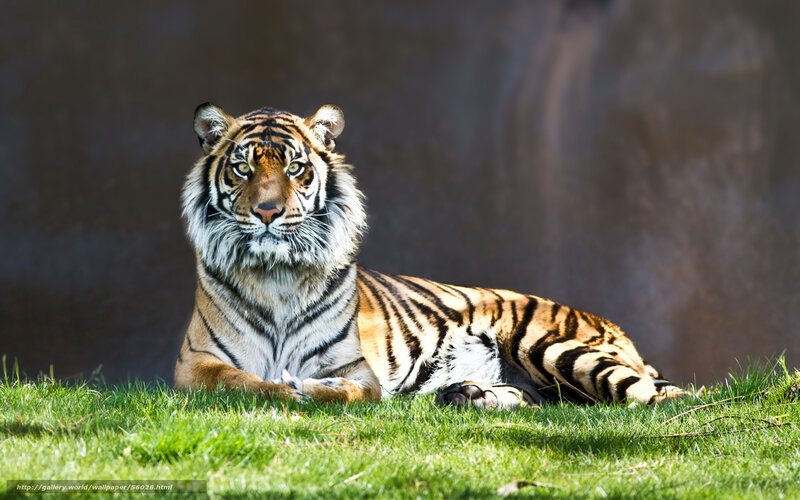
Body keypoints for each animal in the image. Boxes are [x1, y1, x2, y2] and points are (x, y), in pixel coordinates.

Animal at [173, 102, 684, 409]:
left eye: (296, 168)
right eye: (242, 168)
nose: (267, 211)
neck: (276, 275)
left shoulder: (357, 369)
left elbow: (350, 392)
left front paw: (310, 388)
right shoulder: (194, 365)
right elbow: (243, 382)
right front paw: (286, 388)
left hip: (556, 347)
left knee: (658, 398)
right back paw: (468, 394)